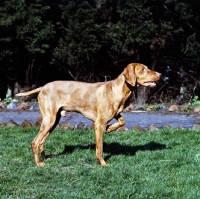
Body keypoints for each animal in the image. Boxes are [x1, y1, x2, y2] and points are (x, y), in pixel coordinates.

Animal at [16, 63, 161, 166]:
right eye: (143, 69)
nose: (160, 74)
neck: (118, 89)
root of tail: (43, 87)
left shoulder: (115, 114)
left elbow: (122, 121)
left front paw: (110, 128)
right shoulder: (99, 124)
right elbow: (100, 147)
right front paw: (103, 163)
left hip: (54, 121)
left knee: (41, 142)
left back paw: (46, 158)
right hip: (49, 120)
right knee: (35, 142)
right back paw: (39, 163)